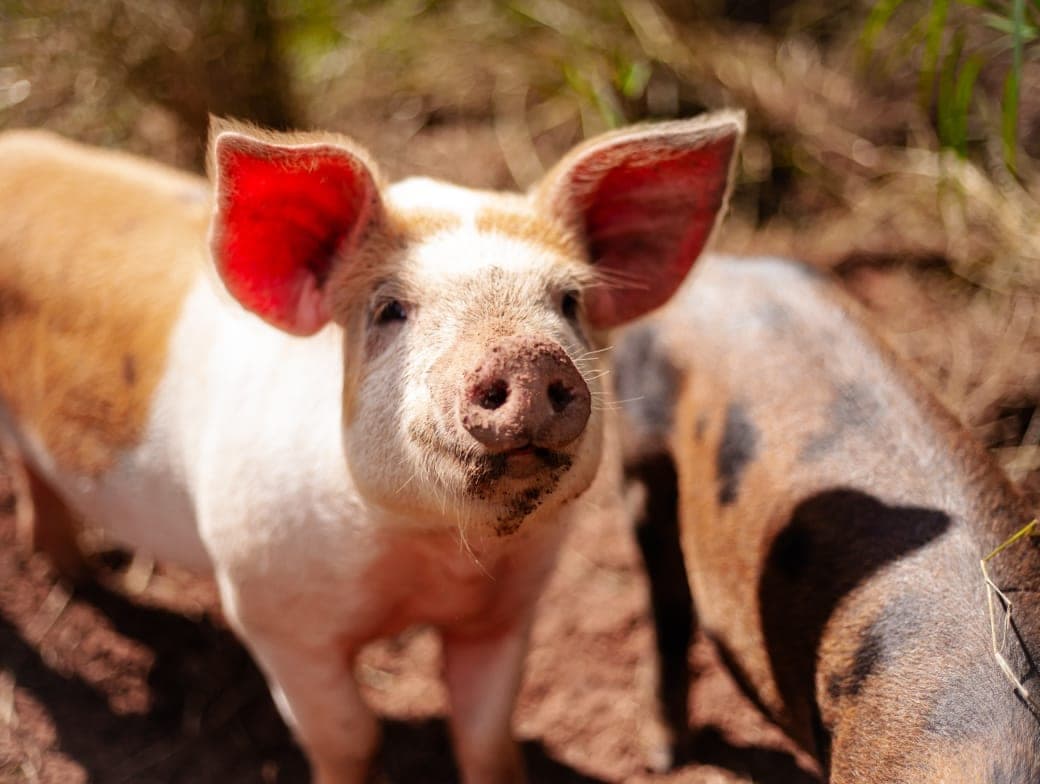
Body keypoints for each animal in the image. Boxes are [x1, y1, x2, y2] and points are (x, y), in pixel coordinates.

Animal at [0, 110, 744, 784]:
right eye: (390, 310)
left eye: (569, 302)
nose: (528, 355)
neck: (428, 555)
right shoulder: (271, 611)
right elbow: (350, 738)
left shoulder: (507, 611)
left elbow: (484, 737)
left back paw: (78, 572)